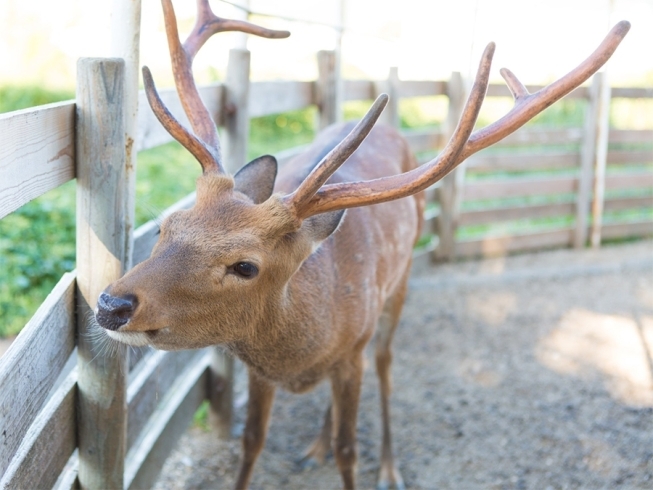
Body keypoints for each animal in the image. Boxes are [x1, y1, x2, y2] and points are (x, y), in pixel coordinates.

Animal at [94, 0, 628, 488]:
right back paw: (315, 446)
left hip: (400, 283)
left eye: (246, 266)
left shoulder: (352, 350)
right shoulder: (262, 373)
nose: (111, 304)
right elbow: (252, 441)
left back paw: (389, 467)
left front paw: (355, 457)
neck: (299, 354)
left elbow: (350, 449)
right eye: (165, 226)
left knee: (386, 364)